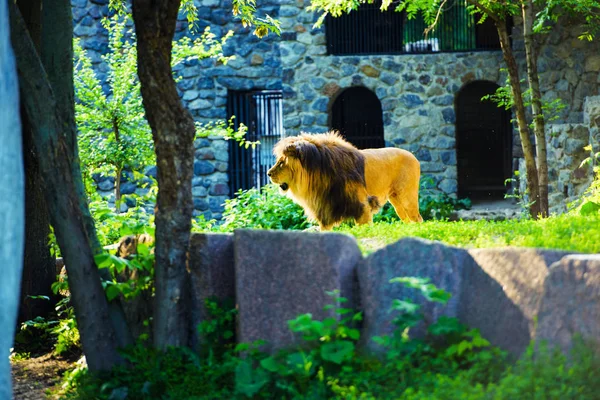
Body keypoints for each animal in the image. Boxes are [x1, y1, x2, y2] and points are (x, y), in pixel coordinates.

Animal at [268, 132, 422, 231]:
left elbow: (364, 228)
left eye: (281, 163)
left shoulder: (362, 205)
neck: (317, 178)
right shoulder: (326, 209)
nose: (268, 173)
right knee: (409, 220)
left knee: (418, 219)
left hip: (407, 198)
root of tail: (413, 156)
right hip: (397, 202)